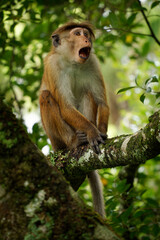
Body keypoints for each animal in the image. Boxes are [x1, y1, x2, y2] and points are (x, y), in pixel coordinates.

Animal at [39, 22, 109, 218]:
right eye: (77, 34)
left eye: (86, 34)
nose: (87, 40)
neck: (73, 63)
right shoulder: (53, 66)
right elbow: (66, 106)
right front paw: (92, 132)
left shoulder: (93, 62)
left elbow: (102, 102)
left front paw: (100, 131)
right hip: (56, 140)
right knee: (46, 95)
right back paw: (75, 141)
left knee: (88, 92)